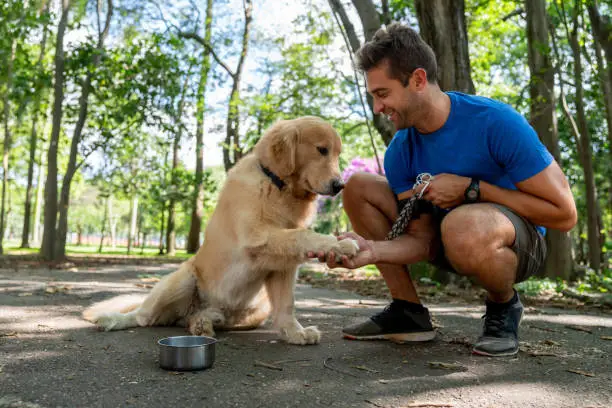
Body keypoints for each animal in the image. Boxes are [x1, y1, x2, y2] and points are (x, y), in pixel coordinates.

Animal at [81, 116, 358, 346]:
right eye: (322, 150)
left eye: (337, 154)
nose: (340, 185)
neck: (278, 186)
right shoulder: (256, 238)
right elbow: (303, 235)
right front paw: (339, 244)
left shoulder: (282, 266)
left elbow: (287, 306)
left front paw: (295, 333)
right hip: (182, 279)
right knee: (143, 317)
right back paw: (112, 320)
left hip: (256, 308)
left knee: (195, 318)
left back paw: (205, 321)